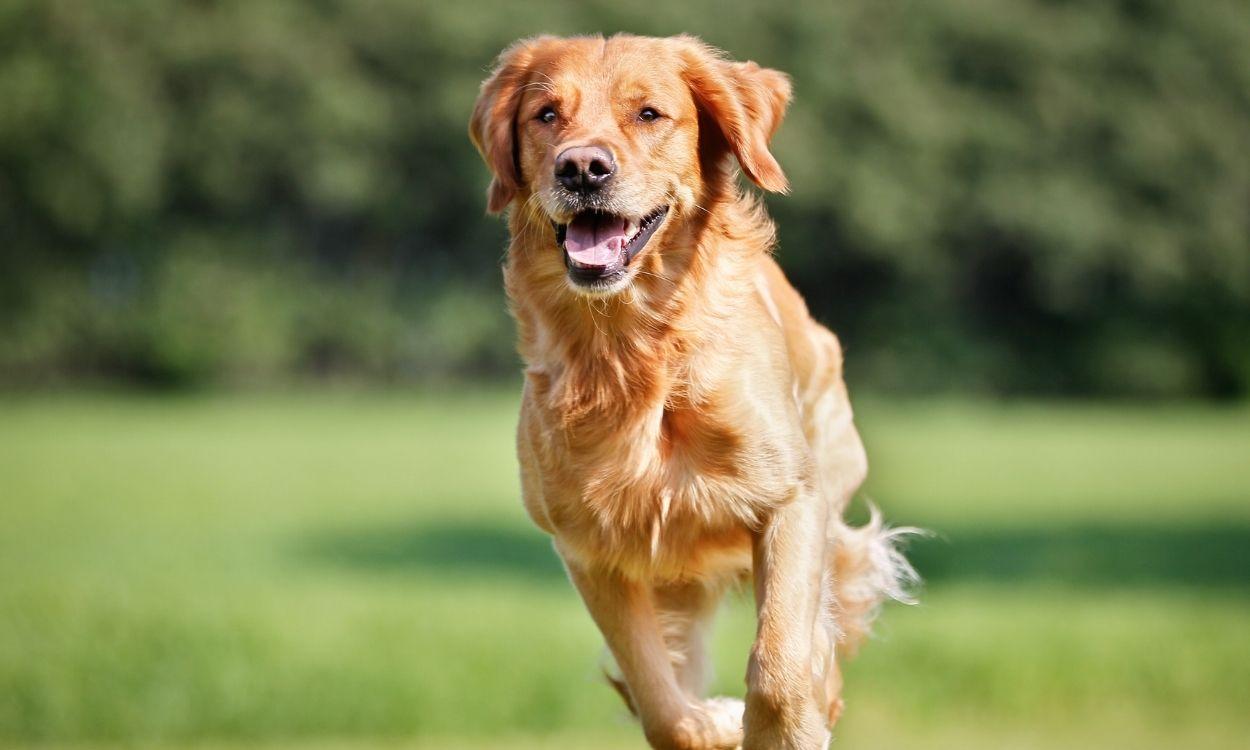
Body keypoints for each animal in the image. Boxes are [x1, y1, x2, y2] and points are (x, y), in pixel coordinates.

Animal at [470, 32, 920, 745]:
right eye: (545, 115)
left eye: (649, 114)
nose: (581, 169)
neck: (633, 349)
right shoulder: (590, 551)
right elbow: (659, 700)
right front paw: (712, 724)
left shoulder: (793, 499)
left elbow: (782, 664)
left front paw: (785, 719)